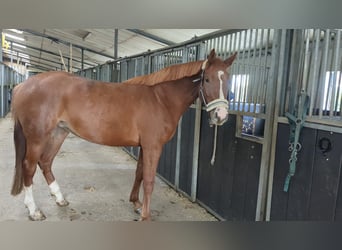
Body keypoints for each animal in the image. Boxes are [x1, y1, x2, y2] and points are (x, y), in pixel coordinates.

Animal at [10, 48, 235, 221]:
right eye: (207, 79)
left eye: (228, 80)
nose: (221, 115)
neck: (161, 99)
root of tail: (22, 86)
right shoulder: (153, 146)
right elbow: (149, 180)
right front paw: (145, 216)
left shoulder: (145, 146)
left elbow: (139, 173)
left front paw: (136, 203)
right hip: (37, 137)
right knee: (29, 167)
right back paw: (34, 210)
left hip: (59, 133)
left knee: (46, 162)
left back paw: (60, 198)